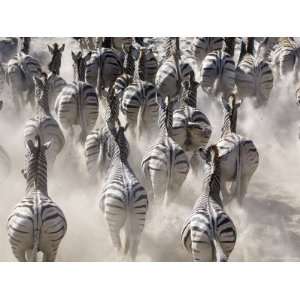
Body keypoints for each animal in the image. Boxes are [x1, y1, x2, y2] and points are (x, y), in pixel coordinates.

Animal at [99, 122, 148, 260]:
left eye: (104, 140)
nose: (101, 162)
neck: (120, 158)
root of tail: (128, 193)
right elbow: (127, 242)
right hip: (138, 218)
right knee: (133, 248)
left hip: (113, 221)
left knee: (117, 246)